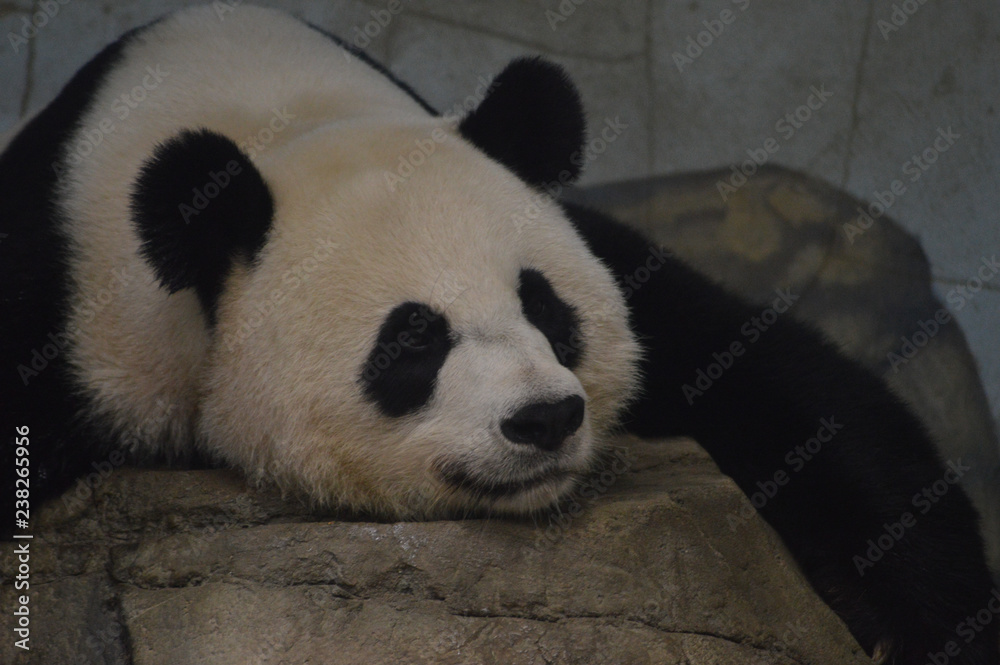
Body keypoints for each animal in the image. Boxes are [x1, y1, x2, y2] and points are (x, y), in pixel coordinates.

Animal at [0, 5, 995, 663]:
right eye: (412, 341)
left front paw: (920, 624)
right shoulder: (80, 310)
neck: (276, 121)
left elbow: (786, 390)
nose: (545, 419)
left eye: (545, 307)